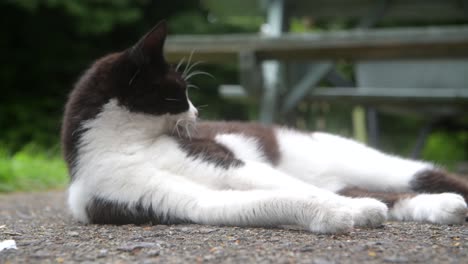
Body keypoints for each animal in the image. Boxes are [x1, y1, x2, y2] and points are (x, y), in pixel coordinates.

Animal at [61, 21, 468, 234]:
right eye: (179, 92)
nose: (197, 112)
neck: (125, 145)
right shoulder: (161, 199)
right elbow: (266, 201)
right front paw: (346, 214)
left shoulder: (220, 160)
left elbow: (287, 186)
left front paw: (347, 211)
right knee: (378, 194)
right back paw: (439, 206)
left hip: (369, 161)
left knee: (415, 178)